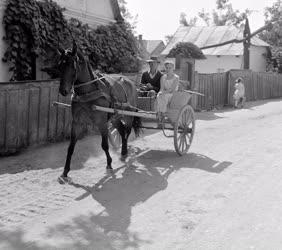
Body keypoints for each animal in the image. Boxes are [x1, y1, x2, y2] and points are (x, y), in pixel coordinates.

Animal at [56, 41, 142, 184]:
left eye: (72, 66)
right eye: (59, 65)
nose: (63, 90)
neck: (88, 92)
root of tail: (129, 81)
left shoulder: (101, 122)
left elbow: (105, 145)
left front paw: (109, 165)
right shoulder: (77, 122)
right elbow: (71, 147)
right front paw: (65, 172)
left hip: (128, 114)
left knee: (127, 131)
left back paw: (124, 152)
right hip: (115, 117)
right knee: (121, 131)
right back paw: (123, 153)